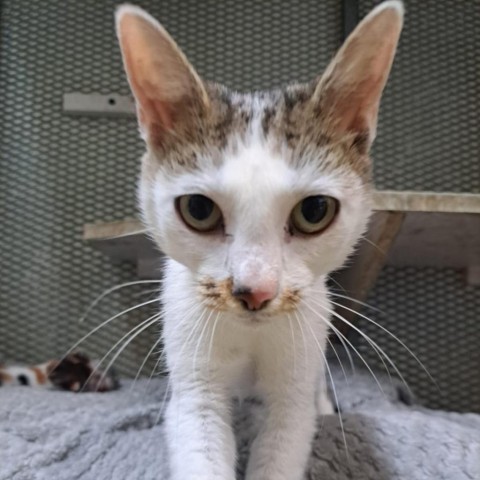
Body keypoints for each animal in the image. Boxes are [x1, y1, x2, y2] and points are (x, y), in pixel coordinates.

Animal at [114, 1, 404, 478]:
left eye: (314, 211)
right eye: (199, 209)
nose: (255, 291)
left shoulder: (295, 381)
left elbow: (289, 428)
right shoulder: (194, 383)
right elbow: (197, 424)